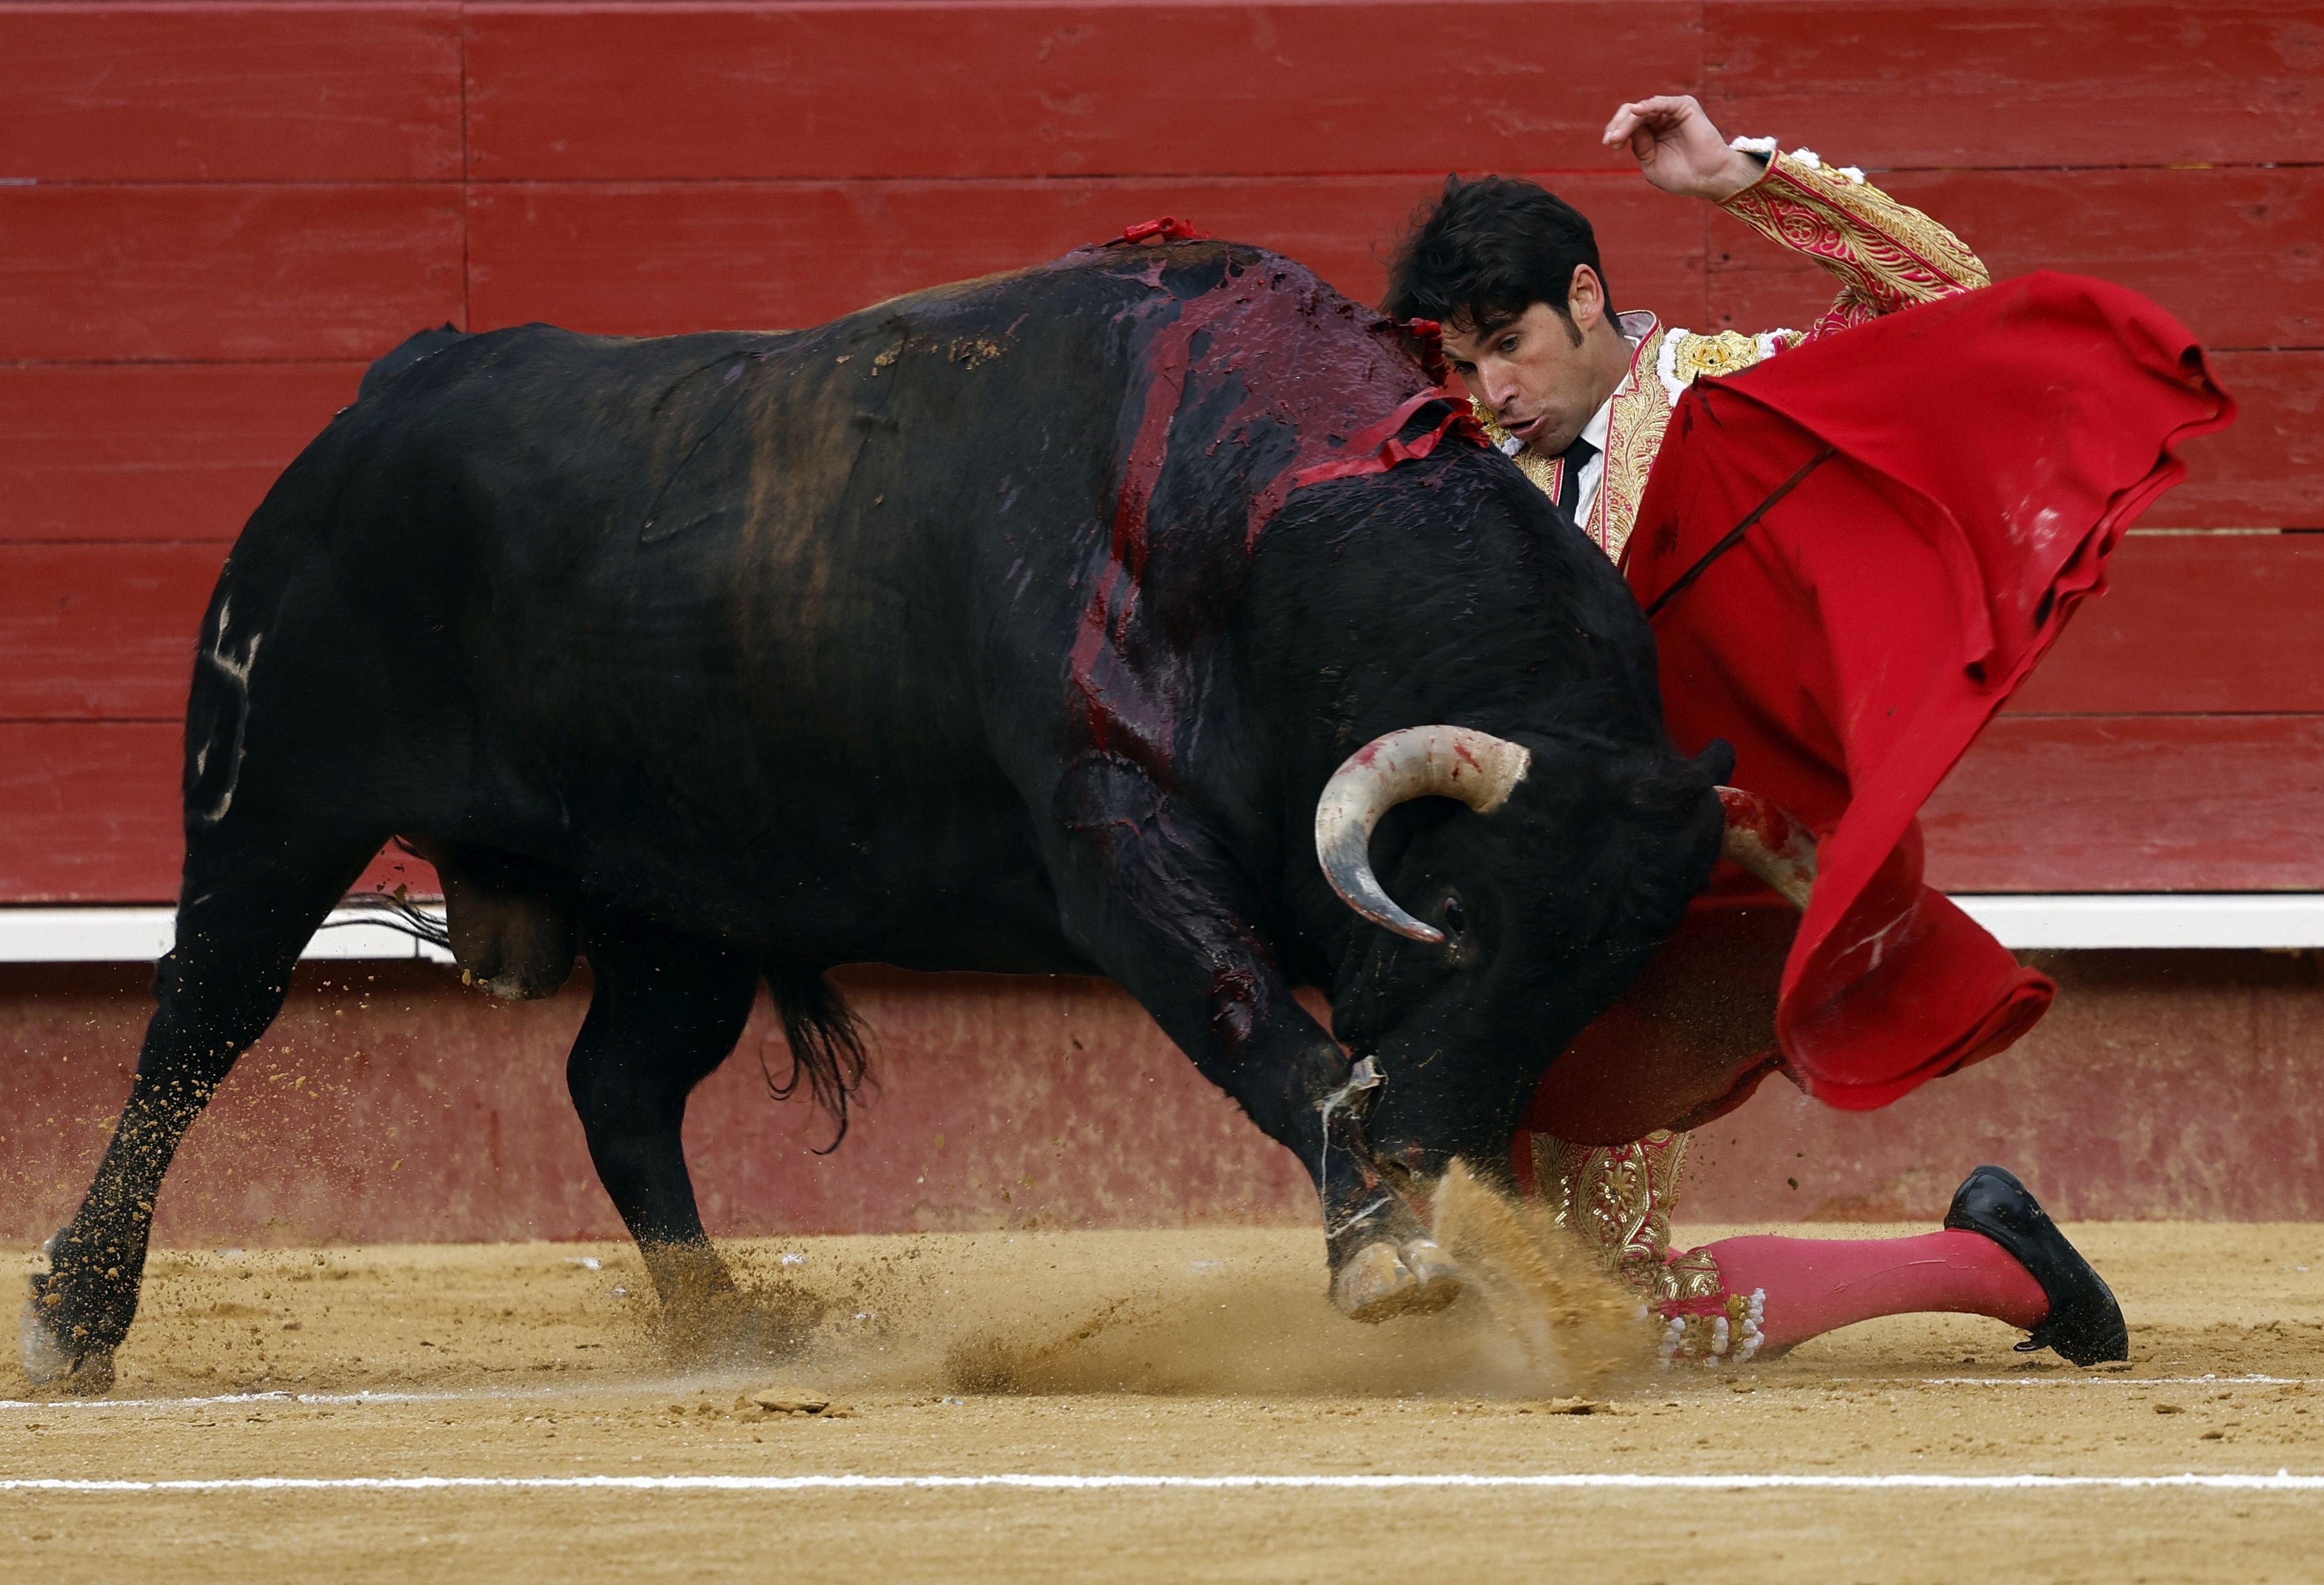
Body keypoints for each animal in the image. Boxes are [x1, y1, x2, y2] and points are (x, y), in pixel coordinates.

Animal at [22, 238, 1729, 1385]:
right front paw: (1382, 1249)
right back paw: (74, 1316)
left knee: (619, 1084)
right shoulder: (1115, 843)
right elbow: (1259, 1025)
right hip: (270, 807)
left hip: (682, 895)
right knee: (194, 1029)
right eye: (1458, 922)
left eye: (1597, 972)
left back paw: (727, 1325)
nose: (1439, 1148)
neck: (1260, 514)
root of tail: (396, 382)